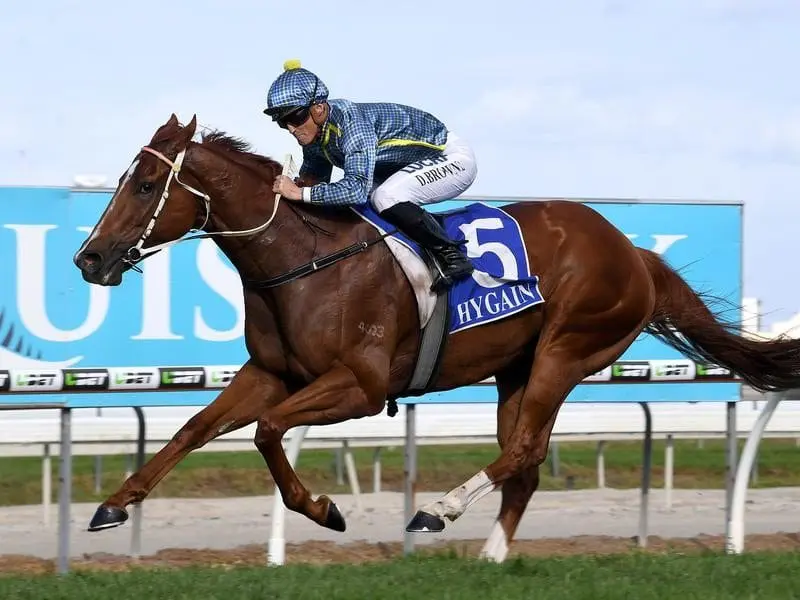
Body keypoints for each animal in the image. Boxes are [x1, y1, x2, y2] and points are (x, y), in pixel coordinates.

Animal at [75, 113, 800, 564]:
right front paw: (113, 505)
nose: (90, 258)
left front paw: (324, 509)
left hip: (568, 350)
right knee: (523, 461)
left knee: (524, 449)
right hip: (518, 367)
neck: (303, 259)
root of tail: (634, 252)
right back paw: (491, 556)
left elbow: (269, 433)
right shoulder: (272, 374)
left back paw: (437, 513)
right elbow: (193, 430)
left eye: (145, 184)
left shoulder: (362, 386)